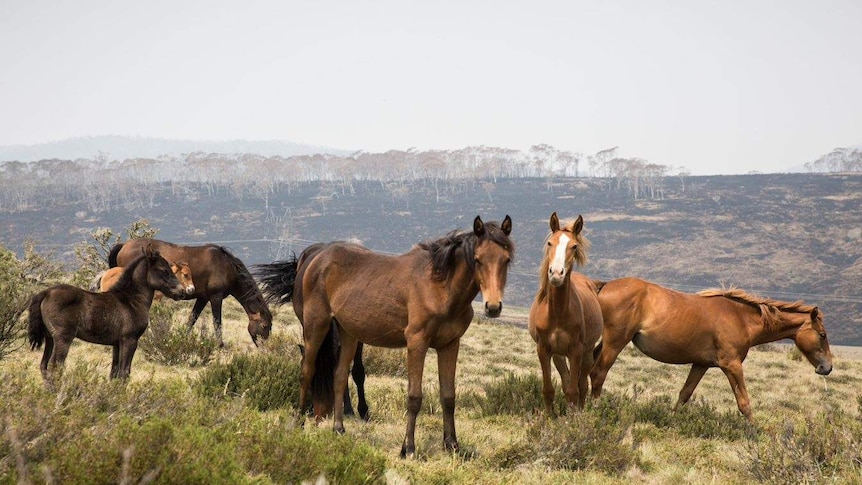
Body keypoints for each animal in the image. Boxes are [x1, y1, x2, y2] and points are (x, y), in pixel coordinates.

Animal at [28, 244, 186, 380]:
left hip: (49, 338)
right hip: (63, 338)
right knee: (55, 367)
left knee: (44, 366)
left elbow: (114, 373)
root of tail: (46, 292)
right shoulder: (130, 340)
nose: (182, 292)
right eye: (163, 269)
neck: (132, 300)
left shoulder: (117, 343)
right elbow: (124, 373)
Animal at [108, 237, 272, 344]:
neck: (225, 266)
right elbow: (217, 322)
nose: (265, 348)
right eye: (265, 326)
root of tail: (124, 245)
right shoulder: (216, 298)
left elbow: (192, 319)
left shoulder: (202, 298)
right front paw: (220, 345)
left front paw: (183, 338)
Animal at [528, 214, 600, 414]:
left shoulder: (576, 351)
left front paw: (572, 417)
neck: (558, 313)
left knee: (582, 385)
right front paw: (549, 417)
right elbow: (549, 389)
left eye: (574, 246)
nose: (556, 274)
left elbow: (573, 391)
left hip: (587, 353)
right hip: (559, 355)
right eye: (550, 243)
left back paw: (580, 412)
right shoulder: (544, 349)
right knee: (567, 380)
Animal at [592, 276, 832, 420]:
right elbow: (744, 403)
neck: (741, 318)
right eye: (822, 334)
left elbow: (685, 394)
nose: (827, 367)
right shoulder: (732, 366)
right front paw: (755, 433)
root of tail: (604, 286)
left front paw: (672, 420)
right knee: (598, 374)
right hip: (614, 343)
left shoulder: (701, 364)